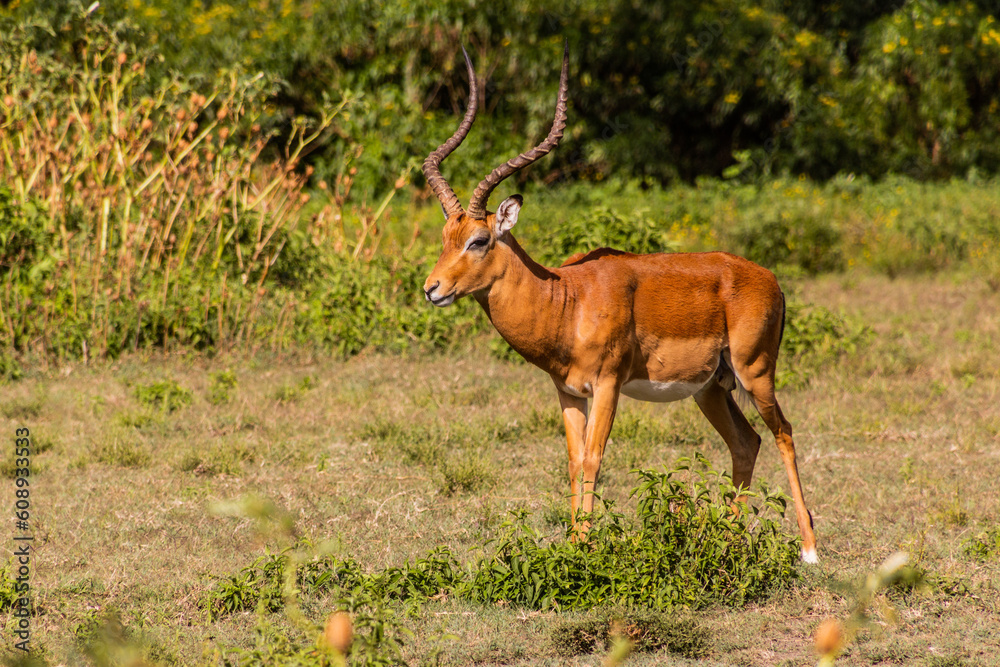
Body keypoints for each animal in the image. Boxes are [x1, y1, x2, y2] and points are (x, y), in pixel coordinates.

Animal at [421, 46, 818, 563]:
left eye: (479, 240)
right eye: (445, 237)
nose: (432, 288)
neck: (567, 299)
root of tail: (769, 278)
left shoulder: (608, 384)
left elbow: (594, 458)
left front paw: (586, 549)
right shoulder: (568, 391)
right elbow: (573, 461)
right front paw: (572, 547)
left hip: (755, 372)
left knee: (783, 433)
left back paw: (809, 550)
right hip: (711, 388)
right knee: (746, 442)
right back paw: (728, 541)